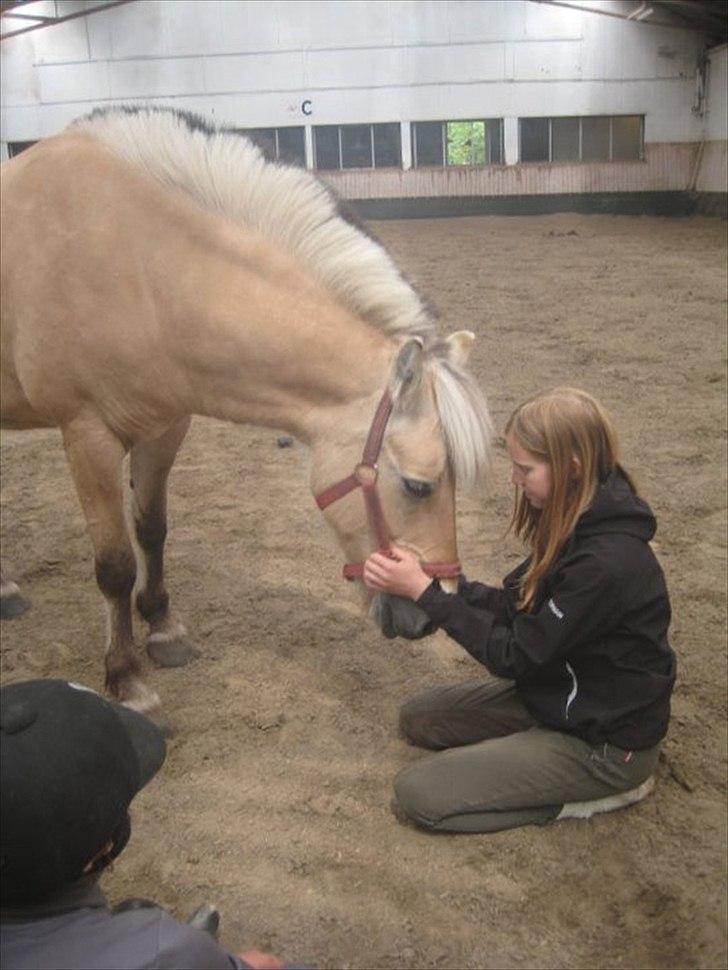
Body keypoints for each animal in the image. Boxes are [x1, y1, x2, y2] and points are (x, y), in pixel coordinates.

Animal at [0, 108, 492, 712]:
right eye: (419, 485)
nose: (429, 614)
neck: (143, 265)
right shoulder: (87, 435)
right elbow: (115, 564)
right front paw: (126, 677)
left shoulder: (165, 427)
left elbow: (152, 530)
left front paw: (163, 628)